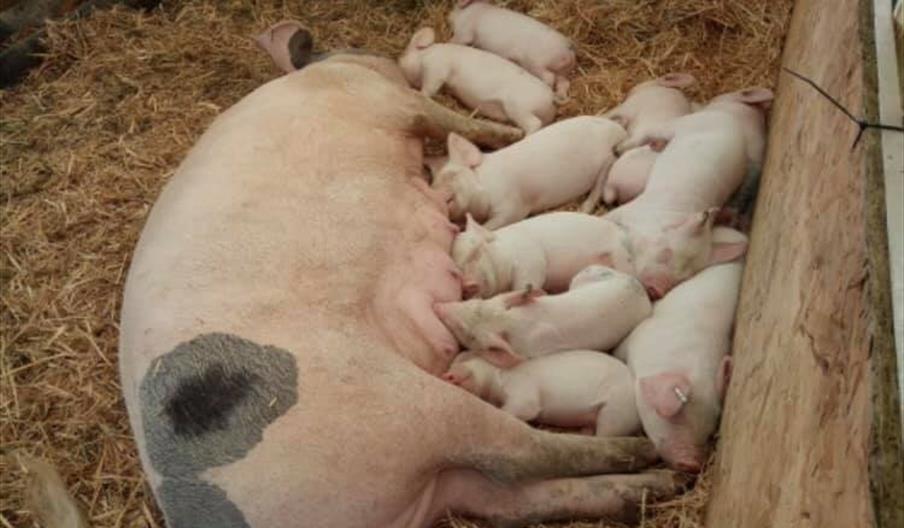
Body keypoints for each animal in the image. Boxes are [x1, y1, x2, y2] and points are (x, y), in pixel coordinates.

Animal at [400, 26, 556, 134]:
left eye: (404, 54)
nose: (399, 61)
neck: (424, 55)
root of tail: (550, 99)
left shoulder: (436, 66)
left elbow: (429, 88)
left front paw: (420, 94)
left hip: (518, 106)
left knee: (534, 124)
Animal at [448, 0, 576, 100]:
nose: (449, 16)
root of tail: (567, 51)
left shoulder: (464, 31)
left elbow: (459, 40)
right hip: (562, 71)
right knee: (564, 83)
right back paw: (560, 96)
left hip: (536, 63)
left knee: (549, 77)